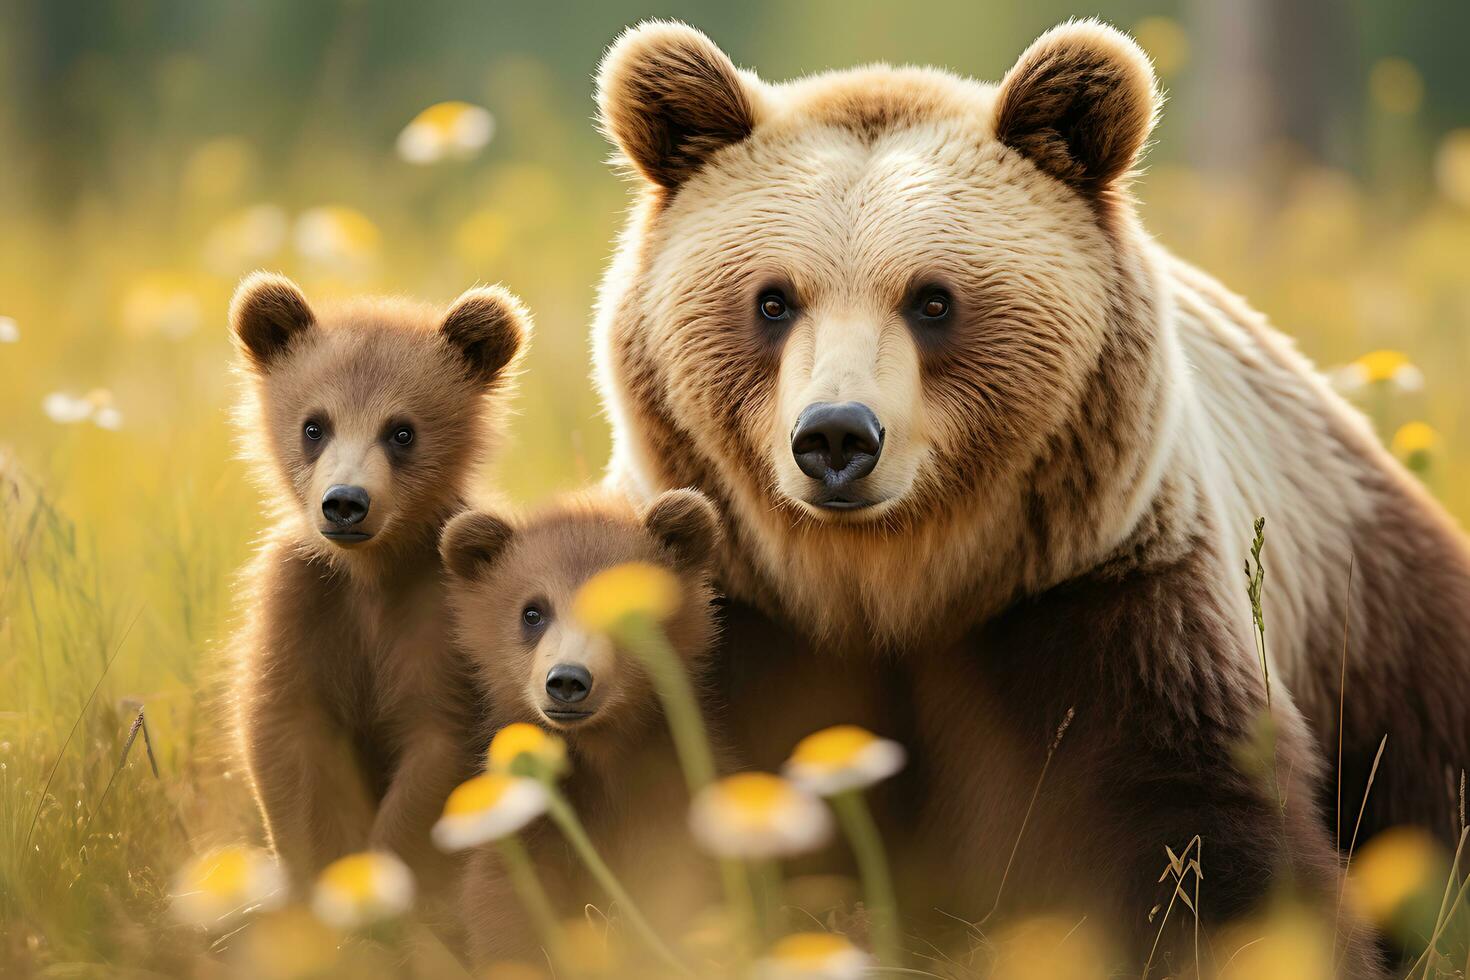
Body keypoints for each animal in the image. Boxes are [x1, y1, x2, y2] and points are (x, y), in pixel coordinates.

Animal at [588, 15, 1470, 975]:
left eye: (933, 300)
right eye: (774, 300)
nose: (837, 437)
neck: (883, 586)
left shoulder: (1099, 600)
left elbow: (1198, 833)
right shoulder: (732, 615)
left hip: (1370, 615)